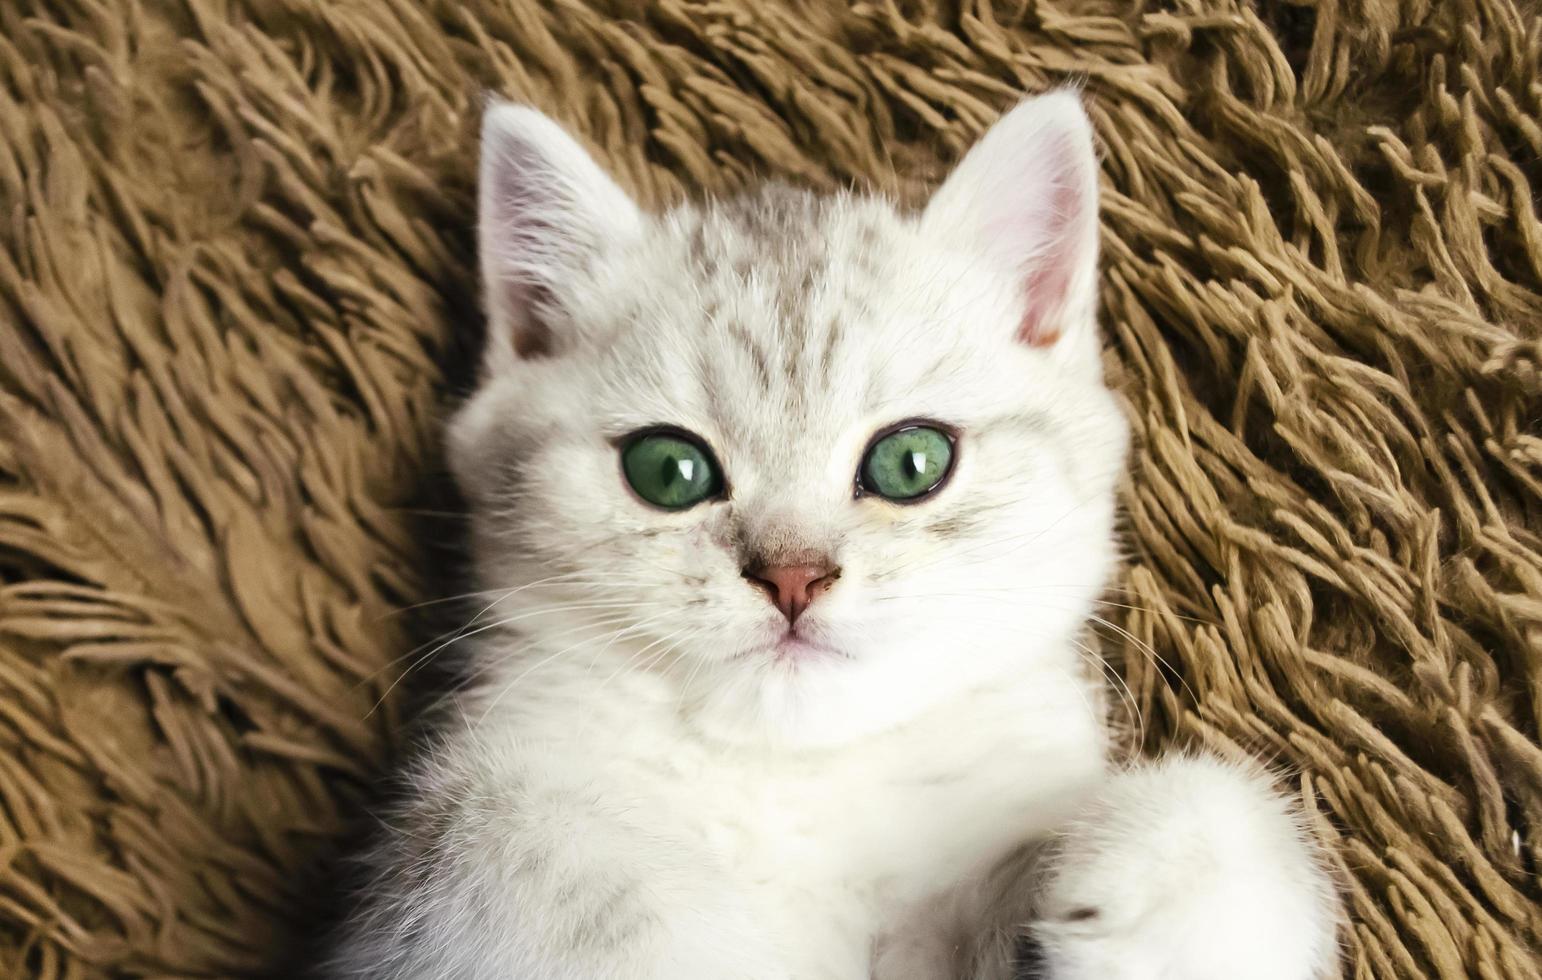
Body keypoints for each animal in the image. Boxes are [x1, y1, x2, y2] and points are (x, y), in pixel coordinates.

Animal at [328, 91, 1338, 980]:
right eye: (667, 471)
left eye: (911, 463)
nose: (793, 576)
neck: (795, 785)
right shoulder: (474, 823)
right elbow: (512, 845)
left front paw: (1177, 896)